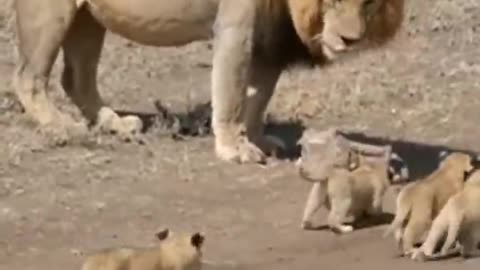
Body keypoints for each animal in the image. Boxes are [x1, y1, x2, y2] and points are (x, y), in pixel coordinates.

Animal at [12, 0, 402, 162]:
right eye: (331, 0)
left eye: (368, 1)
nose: (351, 40)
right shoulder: (236, 29)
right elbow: (230, 94)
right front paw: (234, 148)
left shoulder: (266, 38)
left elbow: (259, 96)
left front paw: (258, 139)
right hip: (51, 12)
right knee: (28, 78)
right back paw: (63, 127)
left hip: (90, 17)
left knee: (76, 77)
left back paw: (115, 123)